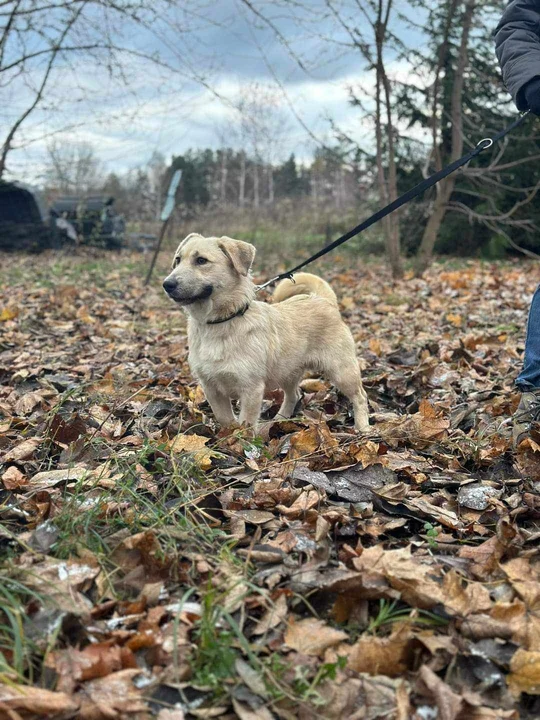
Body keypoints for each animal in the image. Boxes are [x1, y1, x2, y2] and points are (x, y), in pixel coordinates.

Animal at [162, 233, 370, 430]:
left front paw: (241, 441)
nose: (167, 284)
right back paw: (280, 419)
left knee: (360, 396)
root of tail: (322, 299)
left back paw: (363, 427)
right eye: (178, 260)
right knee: (294, 395)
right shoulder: (211, 388)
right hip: (288, 372)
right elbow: (225, 419)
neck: (221, 322)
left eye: (201, 260)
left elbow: (245, 424)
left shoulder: (251, 389)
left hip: (342, 371)